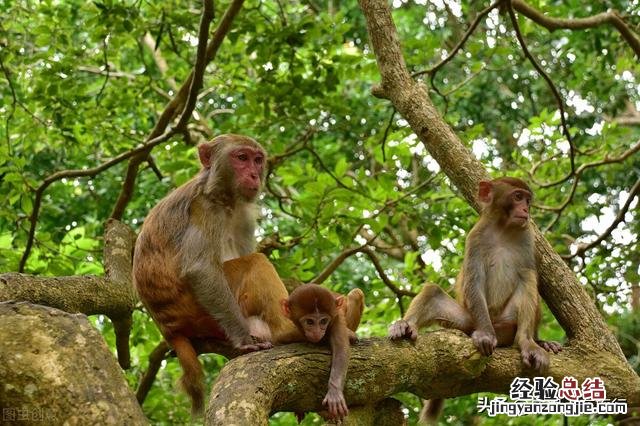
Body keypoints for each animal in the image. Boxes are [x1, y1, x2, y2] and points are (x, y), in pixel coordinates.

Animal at [134, 134, 274, 412]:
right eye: (241, 158)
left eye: (257, 159)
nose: (254, 175)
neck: (225, 198)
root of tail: (169, 329)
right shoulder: (204, 209)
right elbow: (201, 269)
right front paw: (245, 339)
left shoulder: (244, 215)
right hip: (197, 313)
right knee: (253, 262)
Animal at [282, 284, 364, 422]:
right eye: (310, 322)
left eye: (323, 321)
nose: (317, 332)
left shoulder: (336, 318)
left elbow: (341, 348)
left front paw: (334, 392)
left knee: (356, 293)